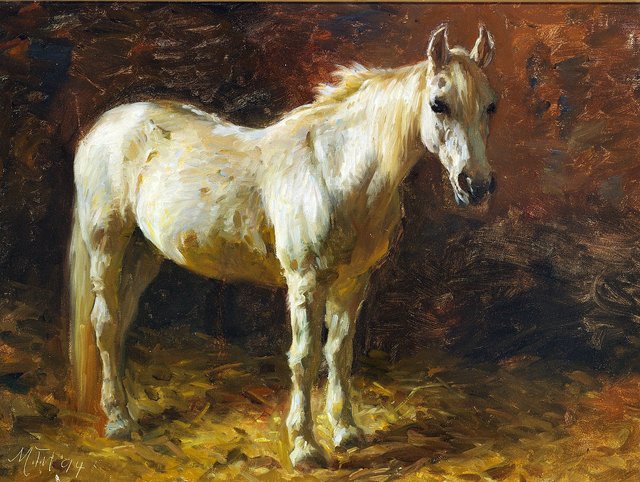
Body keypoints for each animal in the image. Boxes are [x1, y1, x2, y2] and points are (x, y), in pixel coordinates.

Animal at [69, 23, 498, 469]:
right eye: (438, 104)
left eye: (490, 107)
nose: (476, 185)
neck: (334, 170)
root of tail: (104, 125)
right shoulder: (305, 281)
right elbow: (305, 357)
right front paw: (304, 446)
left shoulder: (353, 283)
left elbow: (339, 353)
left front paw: (346, 431)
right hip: (107, 243)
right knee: (104, 322)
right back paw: (119, 422)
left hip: (144, 253)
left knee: (120, 322)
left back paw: (125, 410)